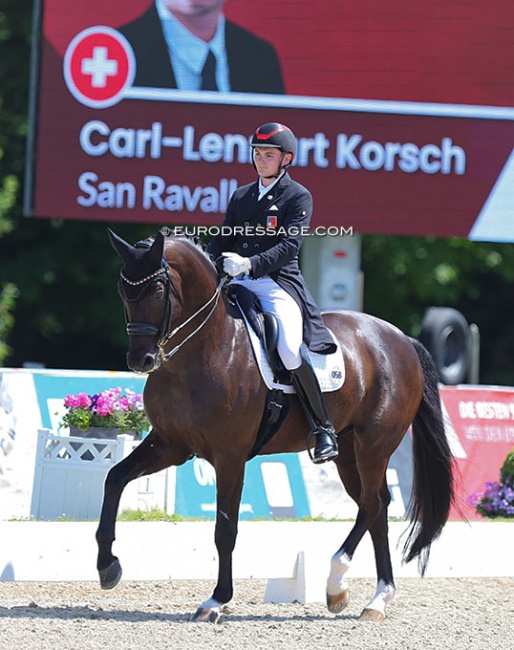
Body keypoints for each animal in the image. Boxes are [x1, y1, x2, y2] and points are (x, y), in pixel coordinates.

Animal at [96, 230, 452, 620]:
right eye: (122, 290)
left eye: (158, 289)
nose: (141, 360)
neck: (206, 347)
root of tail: (402, 339)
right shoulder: (170, 445)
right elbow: (114, 478)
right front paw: (108, 566)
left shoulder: (230, 456)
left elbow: (225, 529)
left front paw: (216, 600)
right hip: (348, 453)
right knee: (377, 508)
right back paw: (375, 598)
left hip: (374, 445)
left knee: (372, 505)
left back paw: (337, 585)